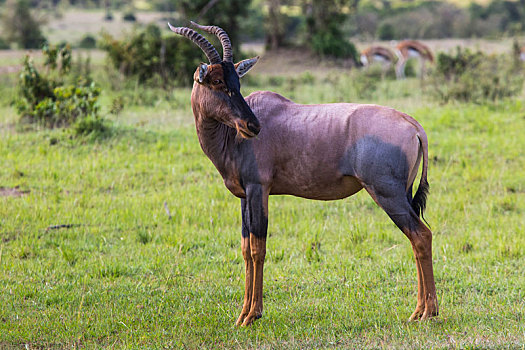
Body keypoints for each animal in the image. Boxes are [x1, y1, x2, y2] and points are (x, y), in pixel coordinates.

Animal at [168, 23, 438, 326]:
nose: (252, 126)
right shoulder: (244, 195)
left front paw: (252, 315)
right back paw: (418, 311)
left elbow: (258, 248)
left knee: (421, 236)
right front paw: (242, 315)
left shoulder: (259, 189)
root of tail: (412, 123)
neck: (232, 138)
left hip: (387, 193)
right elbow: (245, 247)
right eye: (217, 81)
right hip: (402, 192)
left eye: (236, 82)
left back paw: (427, 312)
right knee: (416, 239)